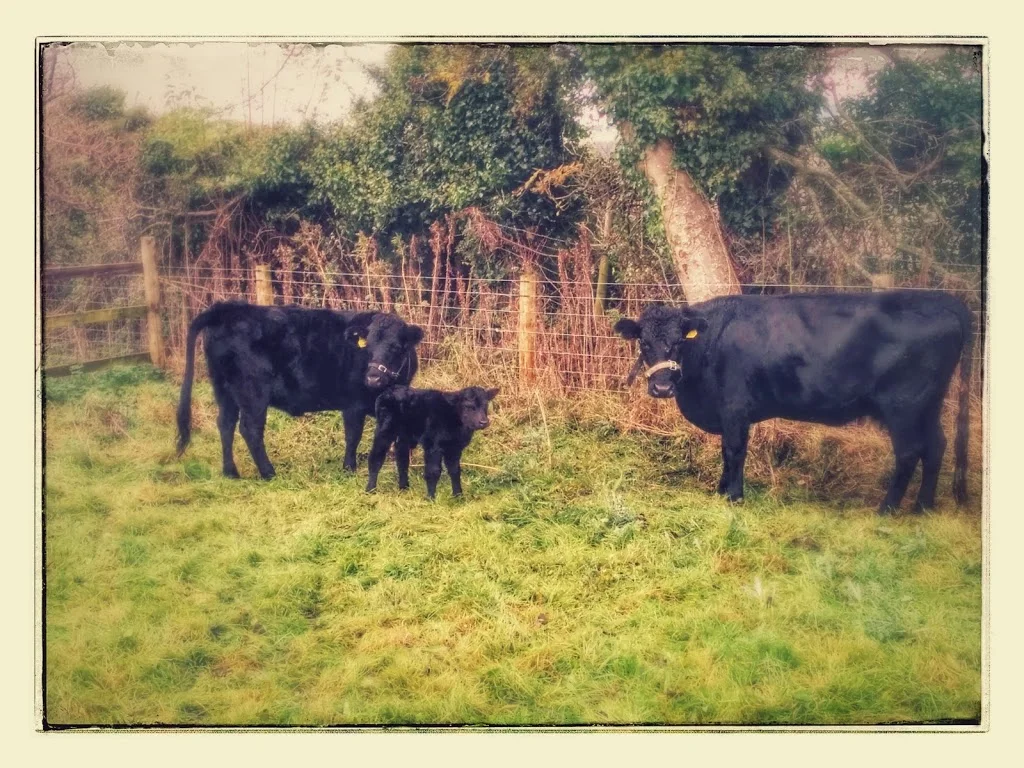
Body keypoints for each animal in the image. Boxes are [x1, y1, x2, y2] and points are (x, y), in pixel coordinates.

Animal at [175, 301, 423, 480]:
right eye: (368, 347)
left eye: (395, 347)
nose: (373, 377)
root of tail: (230, 308)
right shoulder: (352, 405)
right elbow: (353, 436)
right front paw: (348, 469)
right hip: (252, 392)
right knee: (249, 428)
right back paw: (269, 473)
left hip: (223, 389)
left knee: (225, 424)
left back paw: (231, 473)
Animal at [365, 385, 499, 499]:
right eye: (468, 406)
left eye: (485, 405)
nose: (483, 422)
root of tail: (389, 391)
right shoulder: (433, 446)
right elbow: (433, 471)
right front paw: (430, 498)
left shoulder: (455, 448)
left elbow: (455, 471)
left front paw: (458, 496)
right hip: (385, 429)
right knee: (376, 458)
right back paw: (370, 489)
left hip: (404, 436)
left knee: (402, 459)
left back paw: (404, 488)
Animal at [613, 290, 974, 514]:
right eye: (644, 343)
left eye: (678, 342)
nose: (662, 387)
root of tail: (941, 299)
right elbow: (725, 453)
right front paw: (721, 490)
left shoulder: (735, 408)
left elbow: (734, 451)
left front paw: (734, 496)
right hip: (928, 405)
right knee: (936, 446)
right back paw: (923, 507)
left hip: (904, 406)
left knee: (910, 452)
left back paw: (887, 509)